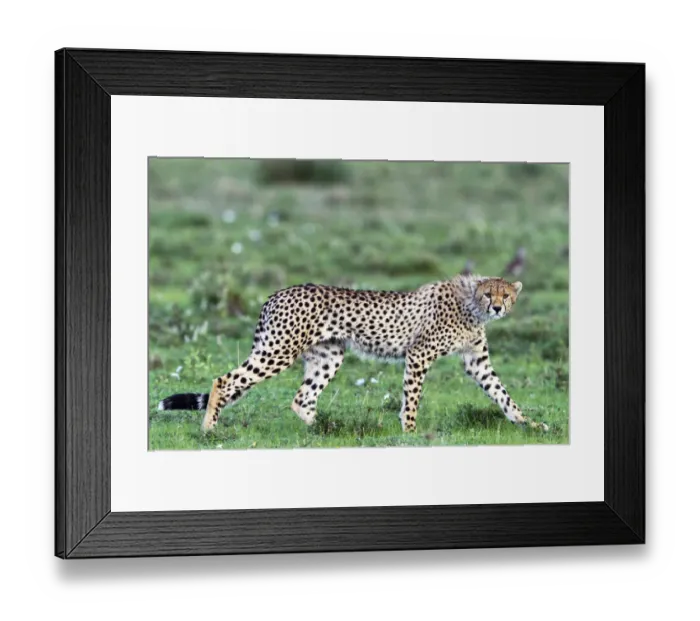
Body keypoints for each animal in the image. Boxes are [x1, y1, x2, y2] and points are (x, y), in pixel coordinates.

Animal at [158, 274, 549, 433]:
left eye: (506, 295)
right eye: (489, 294)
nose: (497, 307)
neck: (470, 305)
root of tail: (278, 293)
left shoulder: (476, 362)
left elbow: (503, 395)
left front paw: (529, 424)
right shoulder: (419, 355)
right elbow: (412, 399)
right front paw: (409, 432)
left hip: (328, 356)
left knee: (302, 399)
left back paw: (326, 430)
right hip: (279, 350)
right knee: (225, 380)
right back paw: (209, 428)